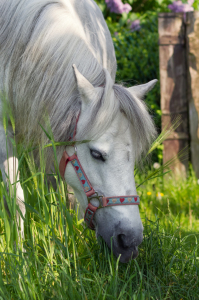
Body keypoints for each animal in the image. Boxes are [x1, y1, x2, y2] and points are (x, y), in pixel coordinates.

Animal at [0, 0, 156, 262]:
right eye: (96, 154)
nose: (129, 241)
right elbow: (15, 199)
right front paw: (19, 258)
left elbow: (68, 197)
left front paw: (69, 245)